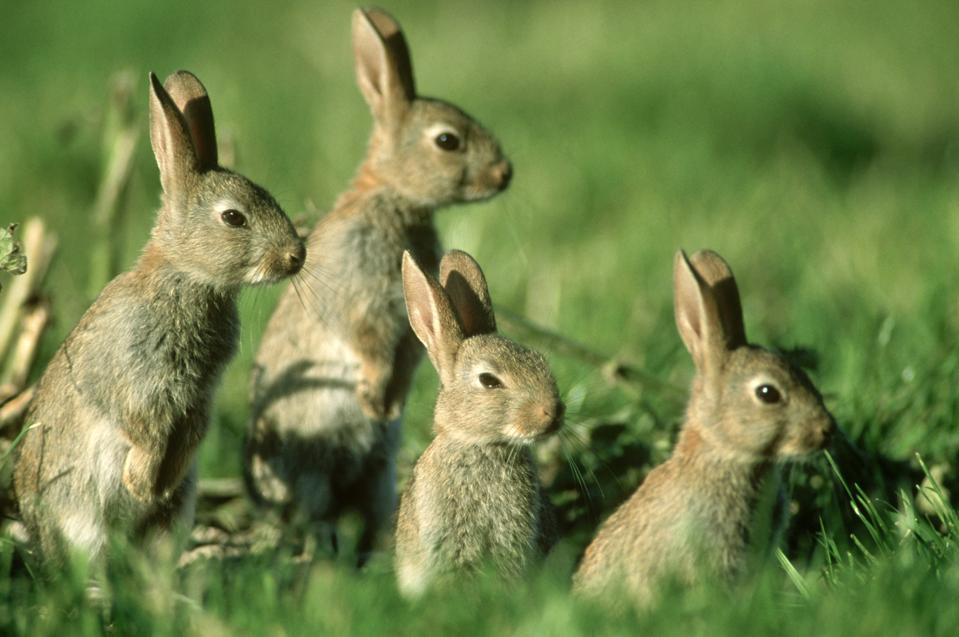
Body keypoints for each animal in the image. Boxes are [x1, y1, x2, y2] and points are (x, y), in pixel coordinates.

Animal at [13, 70, 305, 569]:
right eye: (234, 217)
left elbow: (191, 434)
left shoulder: (197, 397)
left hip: (176, 516)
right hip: (79, 515)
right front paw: (141, 484)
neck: (186, 276)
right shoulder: (142, 383)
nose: (297, 255)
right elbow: (143, 430)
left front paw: (154, 488)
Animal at [243, 7, 512, 563]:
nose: (505, 173)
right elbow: (366, 342)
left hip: (378, 475)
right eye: (448, 141)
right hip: (309, 468)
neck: (392, 195)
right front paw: (374, 399)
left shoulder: (408, 322)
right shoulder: (360, 295)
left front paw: (388, 403)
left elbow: (411, 354)